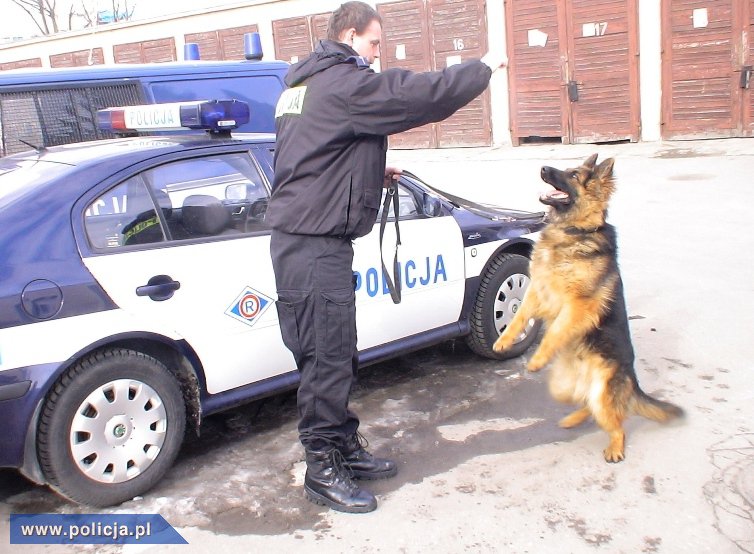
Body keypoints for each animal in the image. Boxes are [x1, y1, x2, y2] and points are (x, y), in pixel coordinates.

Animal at [493, 153, 683, 462]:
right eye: (567, 169)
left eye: (573, 175)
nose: (543, 168)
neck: (573, 230)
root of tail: (632, 380)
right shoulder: (538, 289)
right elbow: (519, 315)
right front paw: (504, 340)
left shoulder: (578, 304)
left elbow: (555, 331)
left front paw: (537, 358)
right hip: (563, 389)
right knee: (587, 406)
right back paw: (573, 418)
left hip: (601, 395)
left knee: (617, 423)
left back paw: (615, 447)